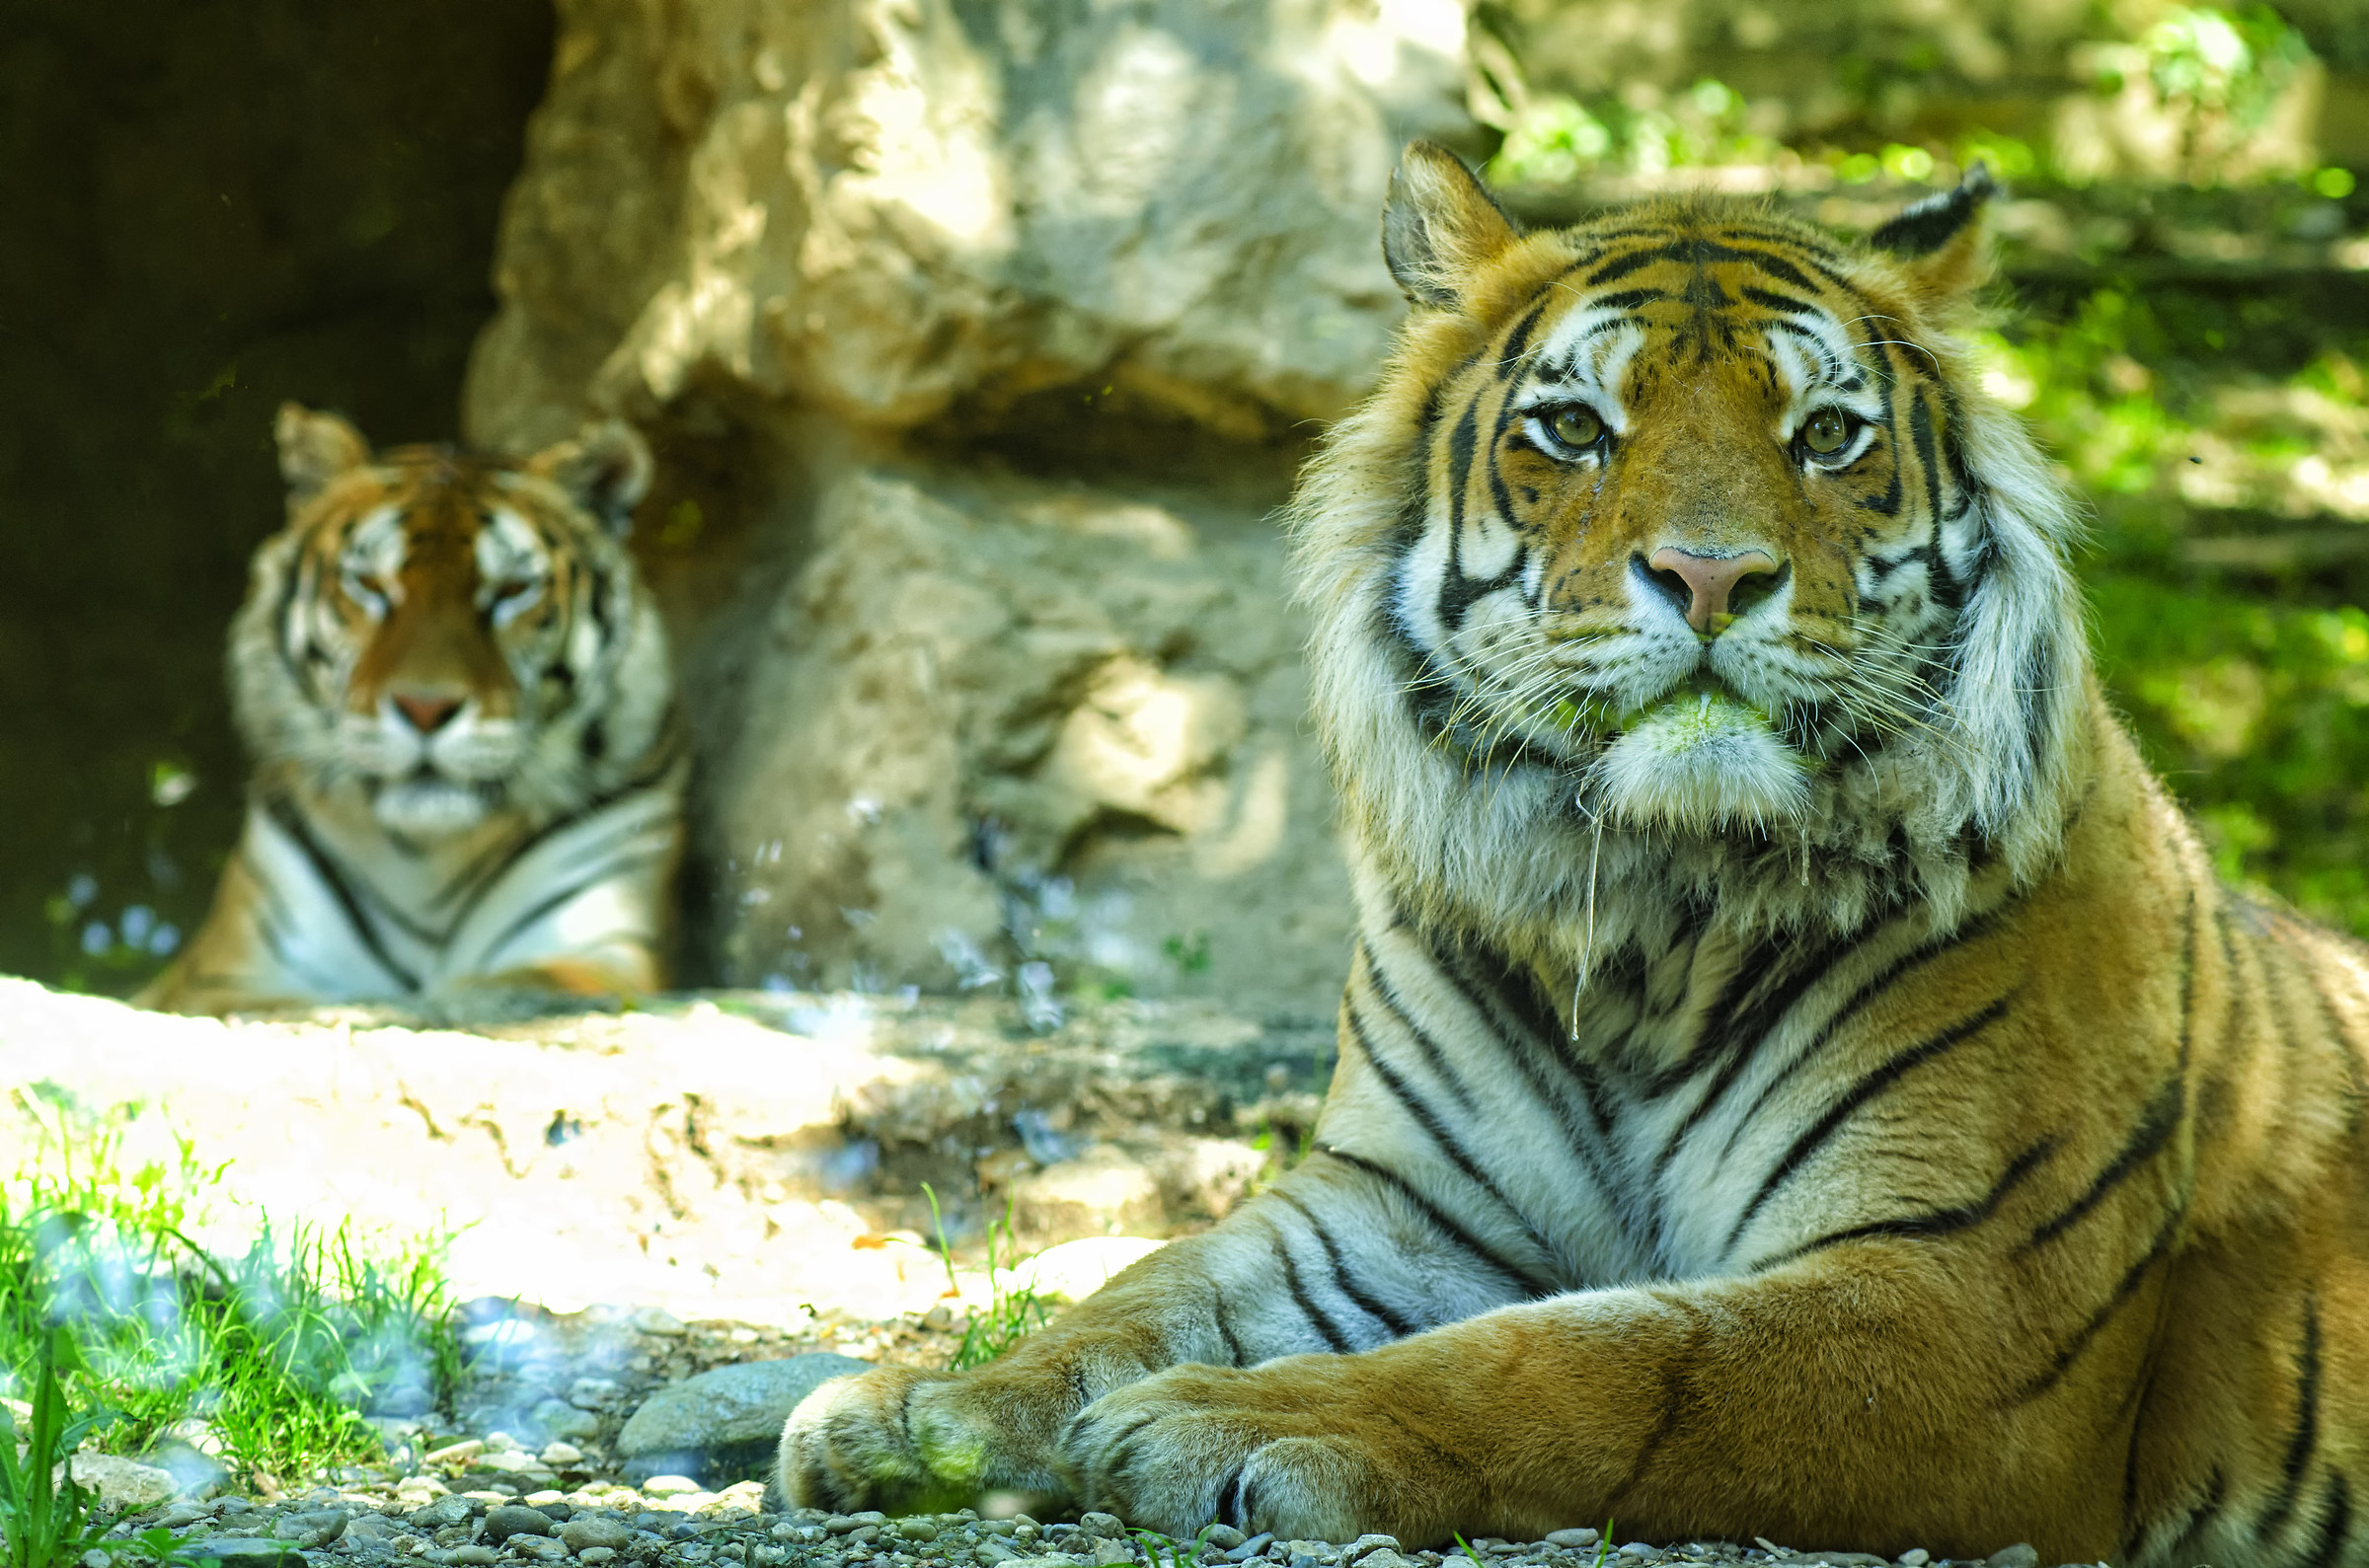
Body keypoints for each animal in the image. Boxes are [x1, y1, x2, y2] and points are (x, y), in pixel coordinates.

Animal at [138, 402, 684, 1017]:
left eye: (512, 590)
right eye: (369, 585)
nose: (426, 708)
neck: (425, 858)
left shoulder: (605, 945)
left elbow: (526, 981)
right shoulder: (225, 976)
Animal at [779, 144, 2369, 1566]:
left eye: (1826, 437)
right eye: (1576, 429)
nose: (1713, 574)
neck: (1650, 905)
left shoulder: (1961, 1297)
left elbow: (1596, 1369)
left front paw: (1238, 1423)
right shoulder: (1387, 1206)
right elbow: (1142, 1286)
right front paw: (932, 1412)